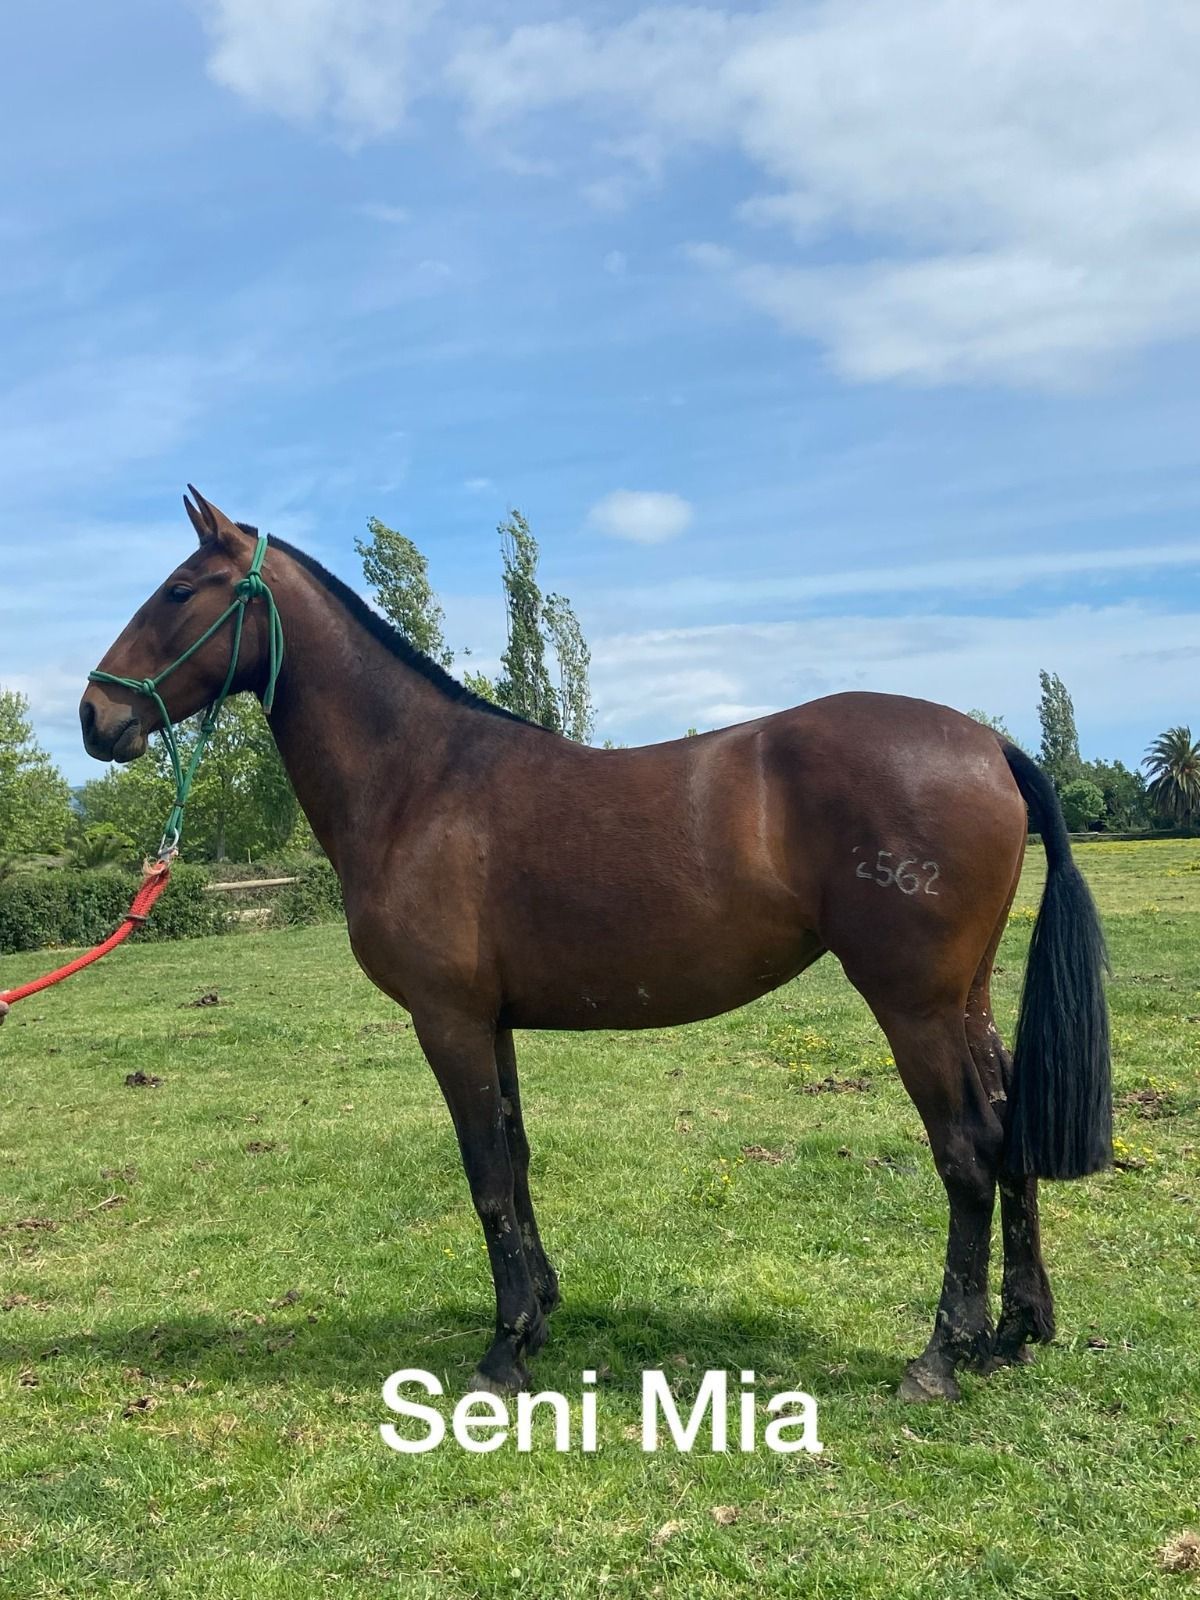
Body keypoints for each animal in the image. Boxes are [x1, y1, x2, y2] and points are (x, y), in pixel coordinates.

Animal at [79, 488, 1111, 1402]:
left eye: (179, 590)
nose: (96, 715)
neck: (420, 779)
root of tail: (988, 745)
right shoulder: (491, 1022)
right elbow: (517, 1156)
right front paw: (538, 1313)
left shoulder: (447, 1022)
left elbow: (487, 1178)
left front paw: (503, 1351)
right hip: (967, 997)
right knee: (1011, 1131)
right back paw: (1015, 1334)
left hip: (912, 1004)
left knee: (969, 1151)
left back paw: (942, 1355)